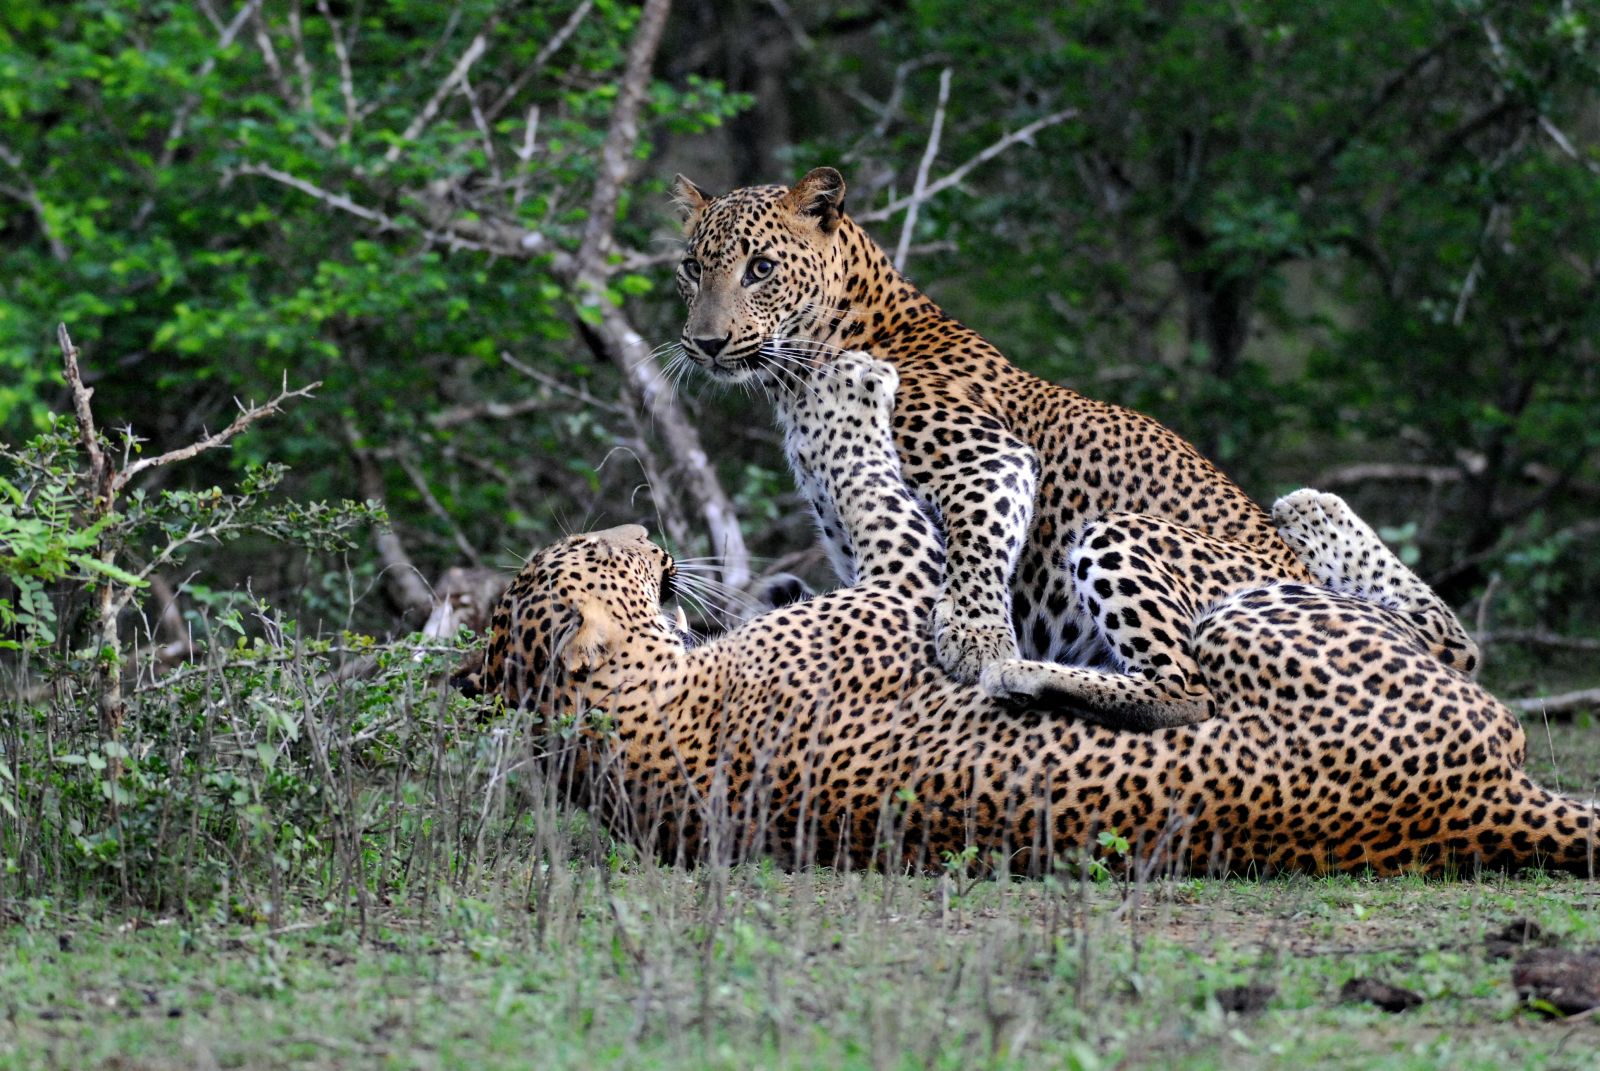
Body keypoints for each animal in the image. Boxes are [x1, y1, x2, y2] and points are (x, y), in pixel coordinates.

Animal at [457, 350, 1593, 877]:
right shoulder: (902, 585)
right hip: (1225, 600)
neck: (616, 723)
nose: (647, 533)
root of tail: (1474, 802)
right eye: (612, 549)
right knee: (1217, 679)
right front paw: (850, 388)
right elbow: (865, 482)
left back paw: (1304, 506)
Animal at [662, 168, 1472, 736]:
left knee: (1188, 691)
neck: (805, 367)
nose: (704, 342)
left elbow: (976, 549)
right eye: (691, 268)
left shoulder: (986, 460)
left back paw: (1028, 675)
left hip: (1122, 534)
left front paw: (975, 637)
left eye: (761, 268)